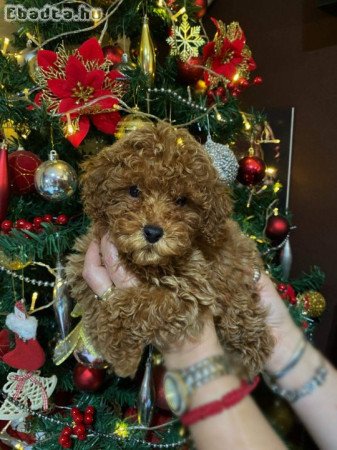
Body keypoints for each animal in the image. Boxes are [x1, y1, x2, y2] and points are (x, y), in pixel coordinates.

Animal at [65, 121, 272, 378]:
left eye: (182, 201)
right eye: (134, 191)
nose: (153, 232)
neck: (146, 262)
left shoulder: (193, 289)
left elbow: (144, 301)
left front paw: (120, 349)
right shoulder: (85, 259)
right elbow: (91, 299)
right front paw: (118, 349)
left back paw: (249, 345)